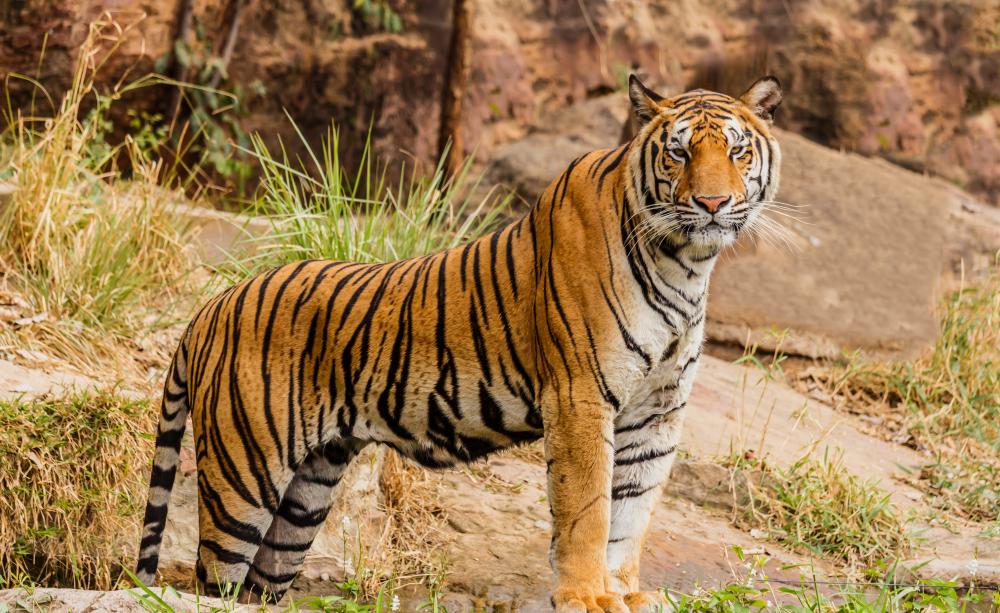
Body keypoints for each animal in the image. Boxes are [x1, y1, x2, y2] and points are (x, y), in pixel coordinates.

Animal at [134, 75, 782, 612]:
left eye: (737, 151)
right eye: (679, 152)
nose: (713, 204)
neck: (686, 263)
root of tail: (210, 307)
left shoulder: (657, 413)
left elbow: (632, 513)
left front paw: (622, 594)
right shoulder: (580, 397)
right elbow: (589, 510)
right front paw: (586, 596)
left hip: (305, 495)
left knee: (258, 586)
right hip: (243, 476)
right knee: (211, 580)